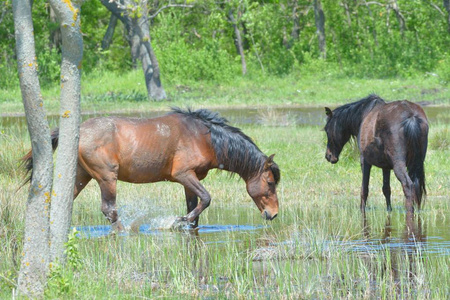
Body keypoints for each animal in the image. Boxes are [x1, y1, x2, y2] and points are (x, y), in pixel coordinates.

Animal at [23, 108, 282, 230]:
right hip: (106, 177)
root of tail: (77, 132)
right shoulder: (183, 175)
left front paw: (186, 224)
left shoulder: (190, 181)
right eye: (270, 183)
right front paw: (177, 221)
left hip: (81, 176)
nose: (273, 214)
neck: (204, 138)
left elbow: (196, 208)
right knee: (109, 210)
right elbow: (206, 199)